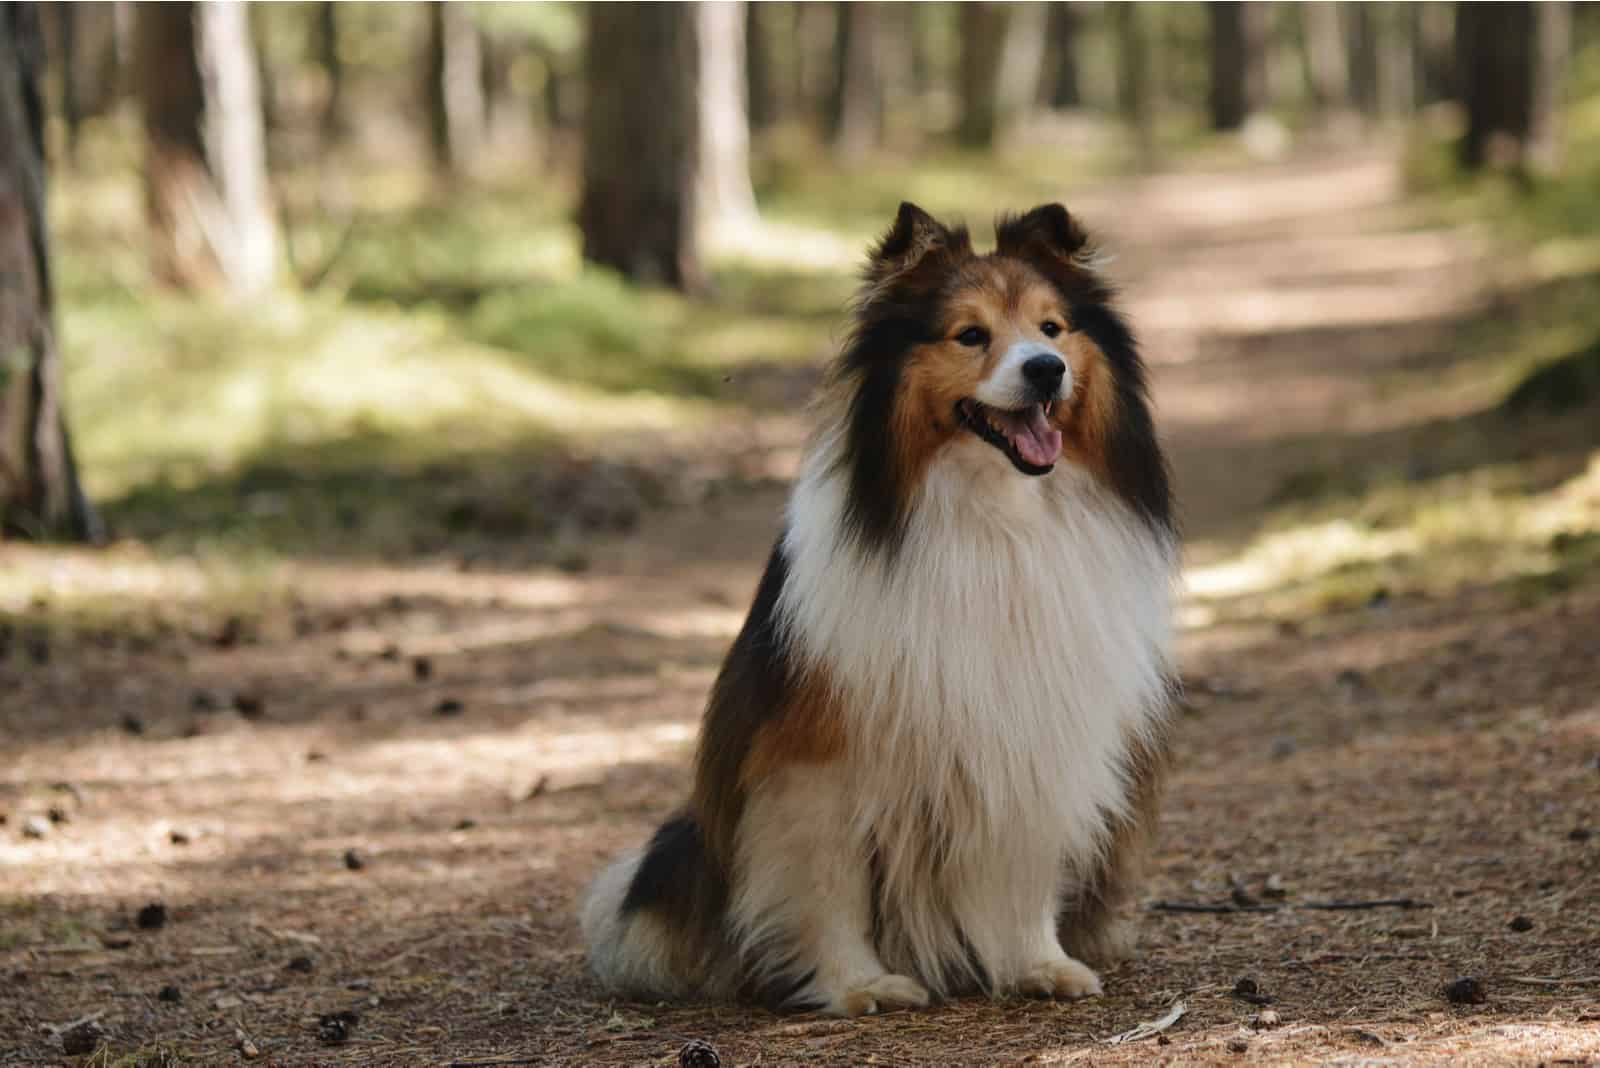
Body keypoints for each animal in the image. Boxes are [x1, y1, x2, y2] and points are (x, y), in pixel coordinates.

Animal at [585, 202, 1177, 1016]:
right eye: (970, 334)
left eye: (1052, 329)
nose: (1045, 370)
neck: (993, 519)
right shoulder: (818, 754)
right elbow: (826, 879)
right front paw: (857, 984)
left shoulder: (1031, 732)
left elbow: (1021, 863)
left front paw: (1037, 963)